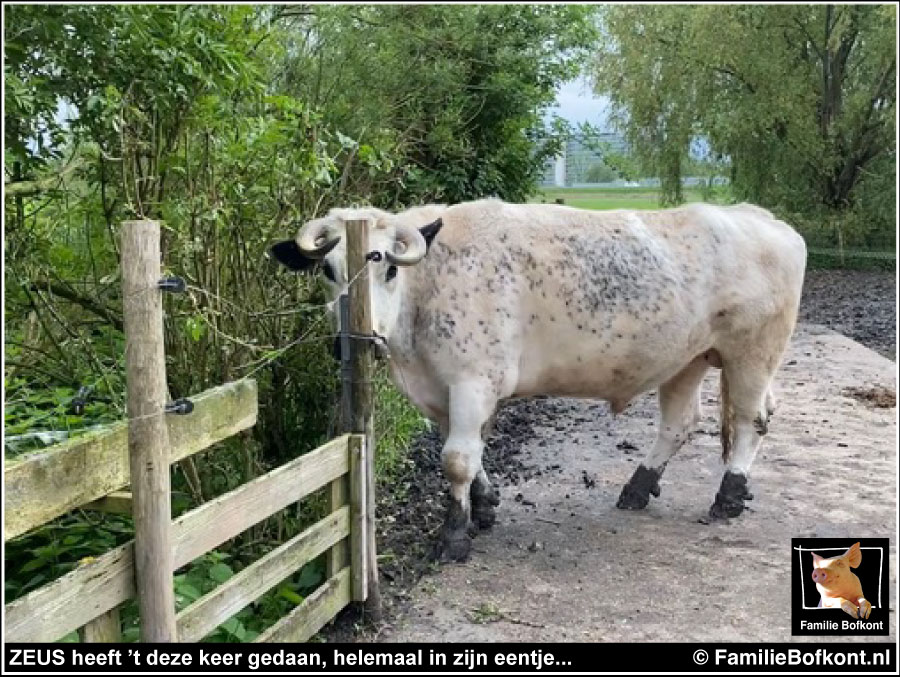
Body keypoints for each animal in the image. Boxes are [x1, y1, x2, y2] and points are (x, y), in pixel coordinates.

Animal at [270, 197, 804, 560]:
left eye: (388, 271)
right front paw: (484, 505)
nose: (355, 341)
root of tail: (762, 217)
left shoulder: (473, 381)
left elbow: (457, 460)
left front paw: (454, 534)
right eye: (327, 271)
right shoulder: (443, 392)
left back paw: (729, 495)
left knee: (752, 419)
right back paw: (636, 488)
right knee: (679, 424)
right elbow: (468, 451)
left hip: (753, 352)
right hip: (685, 360)